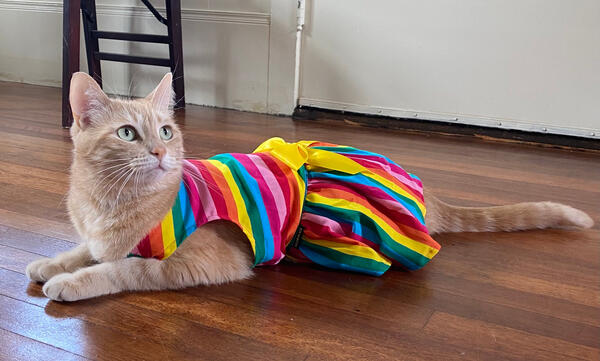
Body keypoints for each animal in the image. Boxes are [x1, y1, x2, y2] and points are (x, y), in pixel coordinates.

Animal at [24, 72, 596, 300]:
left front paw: (72, 282)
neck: (107, 201)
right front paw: (51, 263)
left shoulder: (195, 262)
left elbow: (123, 268)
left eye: (165, 131)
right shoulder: (97, 235)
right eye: (127, 133)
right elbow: (85, 250)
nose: (162, 154)